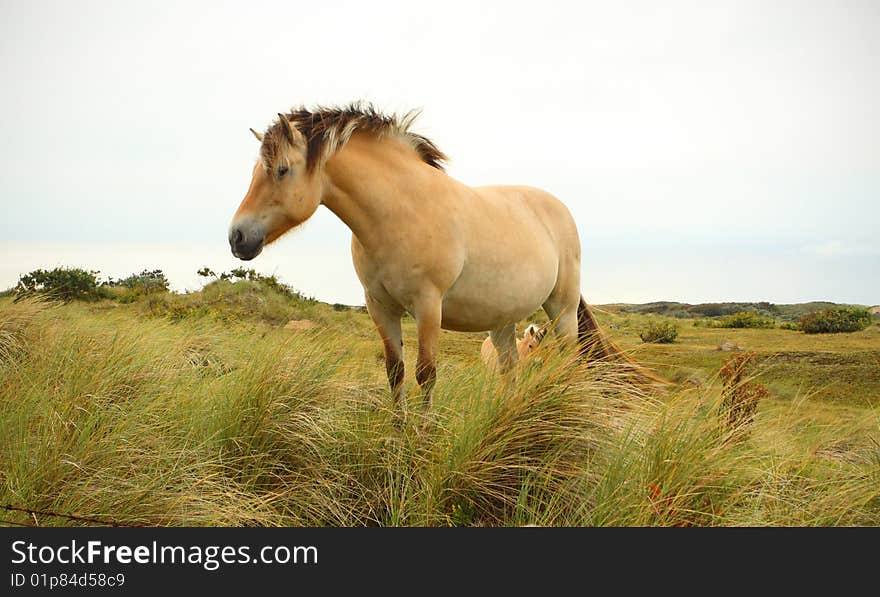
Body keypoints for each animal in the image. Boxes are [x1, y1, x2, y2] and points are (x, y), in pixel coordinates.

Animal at [229, 103, 624, 420]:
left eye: (282, 170)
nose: (237, 237)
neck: (400, 210)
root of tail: (558, 208)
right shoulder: (379, 306)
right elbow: (395, 371)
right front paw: (397, 430)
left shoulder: (428, 305)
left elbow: (426, 373)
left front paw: (422, 434)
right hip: (502, 319)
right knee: (509, 367)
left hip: (562, 309)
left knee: (569, 361)